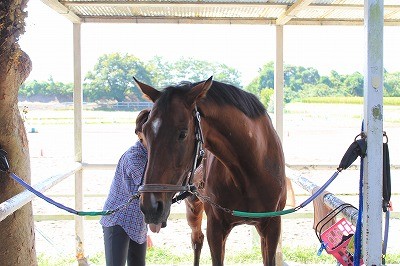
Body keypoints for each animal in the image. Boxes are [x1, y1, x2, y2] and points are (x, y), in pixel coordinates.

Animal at [136, 76, 286, 264]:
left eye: (183, 133)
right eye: (146, 132)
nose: (150, 207)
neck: (250, 172)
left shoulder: (272, 228)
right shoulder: (215, 229)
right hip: (193, 208)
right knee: (196, 240)